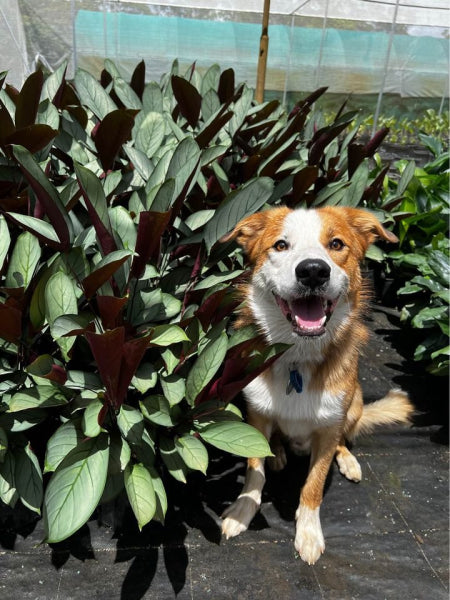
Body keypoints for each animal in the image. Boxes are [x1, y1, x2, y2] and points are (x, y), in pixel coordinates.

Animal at [220, 205, 414, 564]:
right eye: (281, 245)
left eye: (336, 244)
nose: (313, 271)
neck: (299, 355)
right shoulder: (255, 415)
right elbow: (254, 471)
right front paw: (243, 511)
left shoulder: (328, 428)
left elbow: (313, 484)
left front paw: (308, 533)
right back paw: (278, 453)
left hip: (355, 403)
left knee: (345, 439)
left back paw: (348, 461)